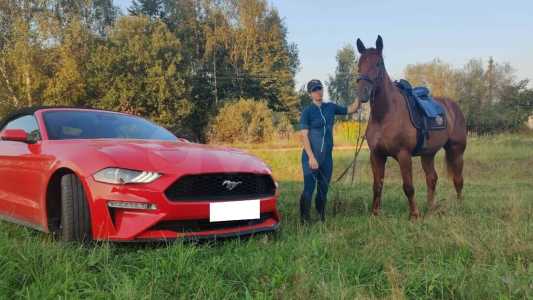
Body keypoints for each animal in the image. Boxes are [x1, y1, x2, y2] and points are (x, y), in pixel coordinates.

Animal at [356, 35, 468, 219]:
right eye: (359, 63)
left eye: (379, 63)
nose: (363, 93)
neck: (385, 116)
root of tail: (453, 107)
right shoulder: (377, 155)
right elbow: (377, 186)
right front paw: (375, 213)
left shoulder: (404, 155)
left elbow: (408, 187)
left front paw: (414, 215)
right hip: (428, 154)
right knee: (432, 178)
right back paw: (430, 207)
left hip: (456, 151)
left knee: (458, 179)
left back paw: (459, 207)